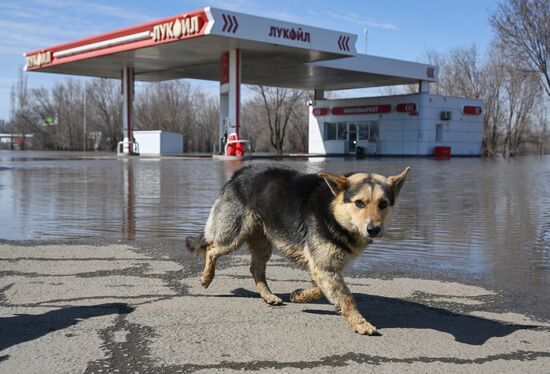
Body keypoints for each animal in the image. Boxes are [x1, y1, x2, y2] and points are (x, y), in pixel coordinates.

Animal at [188, 165, 412, 334]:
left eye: (383, 204)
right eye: (359, 203)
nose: (373, 229)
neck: (333, 212)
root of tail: (241, 172)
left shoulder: (324, 268)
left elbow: (322, 290)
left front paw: (299, 295)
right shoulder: (324, 267)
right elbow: (346, 297)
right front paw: (360, 323)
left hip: (263, 242)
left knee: (255, 269)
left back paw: (269, 296)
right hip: (233, 236)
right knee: (212, 249)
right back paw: (206, 278)